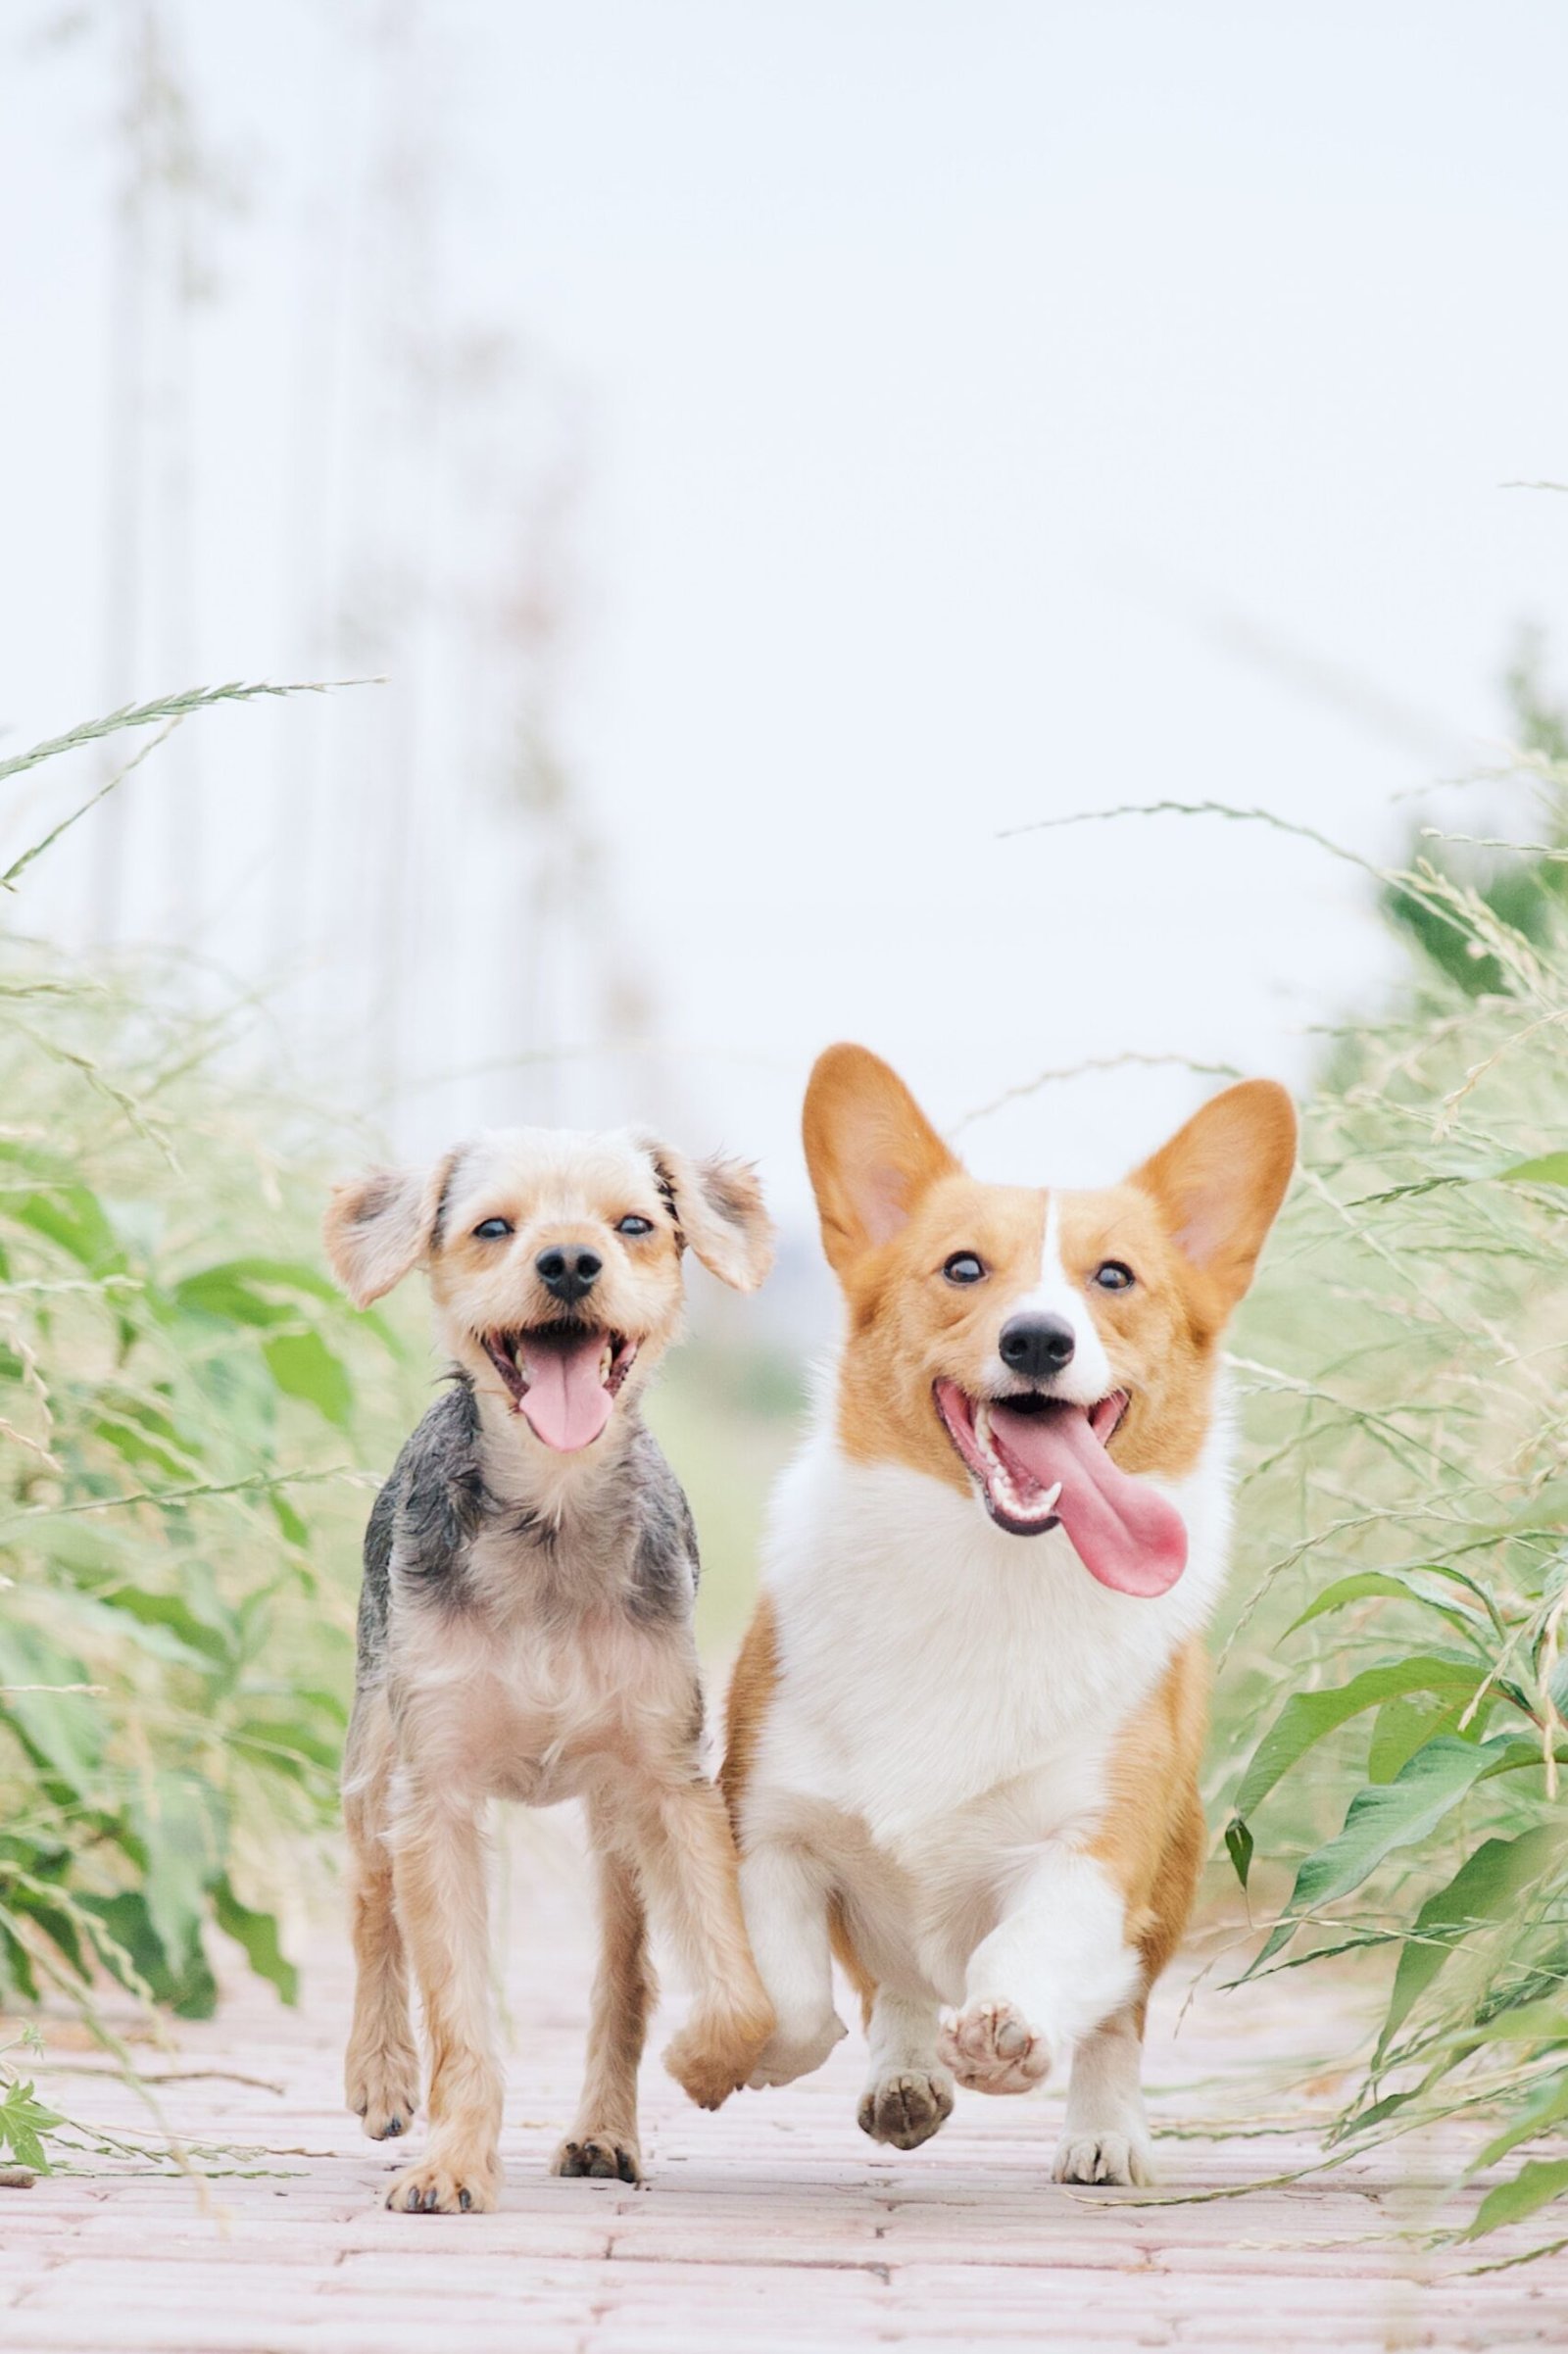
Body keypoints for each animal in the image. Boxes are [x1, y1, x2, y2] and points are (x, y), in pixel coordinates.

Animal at [322, 1129, 776, 2212]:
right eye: (494, 1226)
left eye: (635, 1224)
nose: (569, 1262)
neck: (552, 1519)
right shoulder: (436, 1791)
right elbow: (455, 2008)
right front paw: (450, 2160)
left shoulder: (668, 1781)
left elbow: (733, 1987)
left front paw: (709, 2062)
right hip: (373, 1754)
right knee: (369, 1899)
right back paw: (380, 2071)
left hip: (612, 1828)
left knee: (625, 1974)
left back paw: (604, 2133)